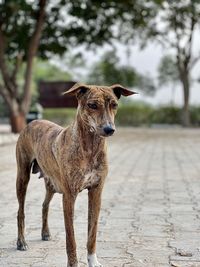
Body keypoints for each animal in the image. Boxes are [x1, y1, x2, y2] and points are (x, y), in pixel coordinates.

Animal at [16, 82, 136, 266]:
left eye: (114, 105)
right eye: (92, 105)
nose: (109, 129)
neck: (90, 148)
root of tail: (33, 121)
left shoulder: (96, 192)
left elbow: (92, 233)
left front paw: (93, 261)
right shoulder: (69, 196)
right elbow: (70, 239)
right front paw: (73, 263)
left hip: (52, 184)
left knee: (44, 205)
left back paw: (45, 233)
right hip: (23, 177)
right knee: (20, 212)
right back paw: (21, 242)